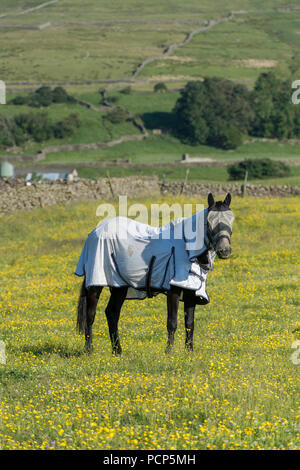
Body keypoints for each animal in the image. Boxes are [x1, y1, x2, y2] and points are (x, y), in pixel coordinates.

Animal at [75, 193, 234, 354]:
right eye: (208, 222)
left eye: (231, 219)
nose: (224, 251)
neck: (188, 248)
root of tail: (95, 232)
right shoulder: (173, 290)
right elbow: (172, 322)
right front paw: (169, 352)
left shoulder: (190, 290)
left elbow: (189, 323)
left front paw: (189, 351)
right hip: (97, 283)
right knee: (90, 315)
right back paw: (89, 349)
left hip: (119, 286)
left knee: (112, 313)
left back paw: (117, 351)